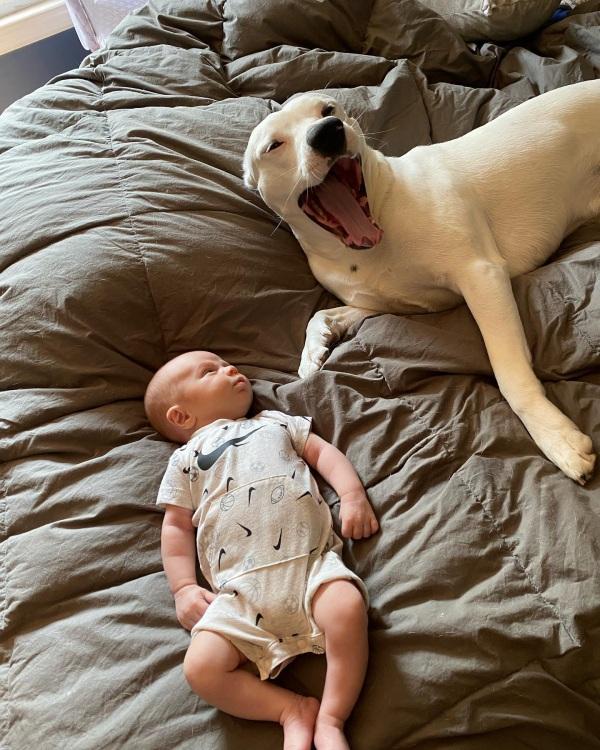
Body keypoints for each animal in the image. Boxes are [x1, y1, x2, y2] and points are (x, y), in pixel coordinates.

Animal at [243, 81, 600, 482]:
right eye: (274, 145)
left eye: (328, 109)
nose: (328, 132)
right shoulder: (378, 303)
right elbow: (322, 315)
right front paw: (312, 352)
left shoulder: (481, 275)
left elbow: (510, 373)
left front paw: (556, 438)